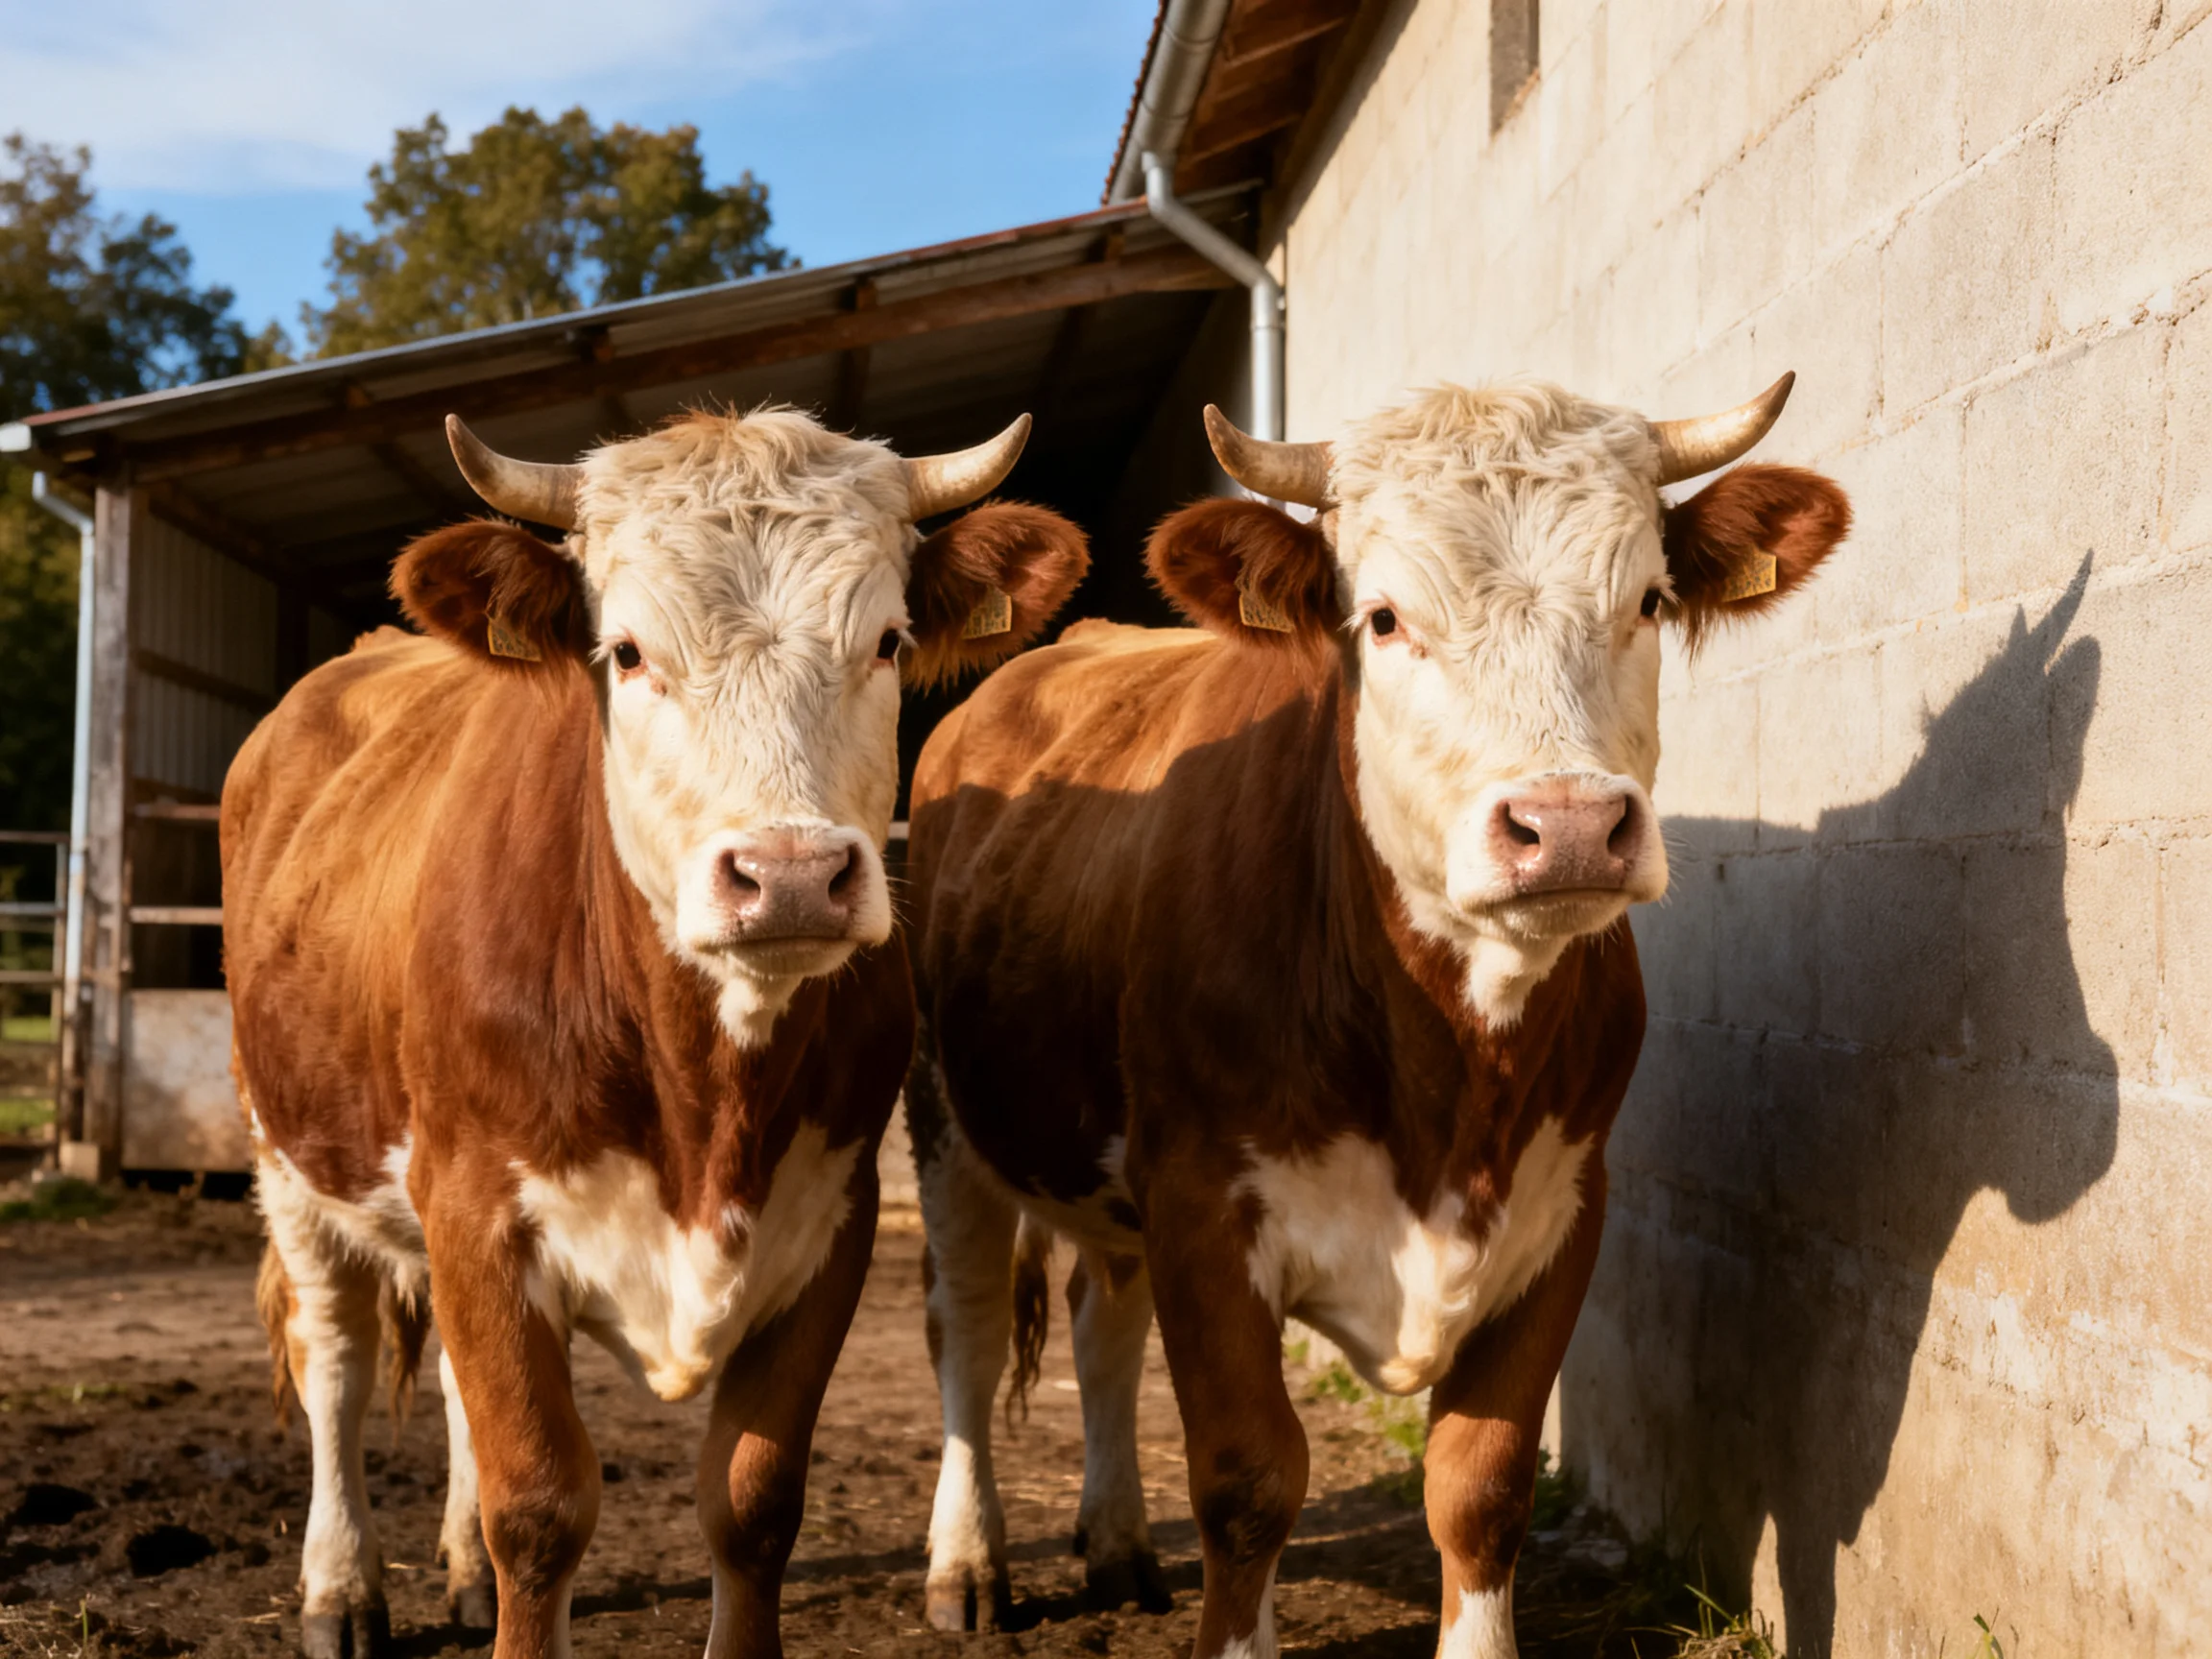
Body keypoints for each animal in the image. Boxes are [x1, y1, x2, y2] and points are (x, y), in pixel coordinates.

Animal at [221, 406, 1088, 1659]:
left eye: (885, 641)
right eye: (627, 652)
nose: (790, 875)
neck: (702, 1096)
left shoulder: (828, 1222)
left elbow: (754, 1500)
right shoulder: (476, 1208)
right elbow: (536, 1506)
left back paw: (454, 1572)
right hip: (288, 1151)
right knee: (333, 1358)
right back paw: (341, 1591)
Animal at [903, 377, 1851, 1658]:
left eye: (1648, 600)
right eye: (1387, 619)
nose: (1567, 825)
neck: (1451, 1077)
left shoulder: (1566, 1209)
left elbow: (1481, 1485)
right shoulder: (1204, 1205)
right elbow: (1250, 1480)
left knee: (1106, 1326)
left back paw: (1119, 1549)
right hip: (944, 1110)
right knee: (961, 1324)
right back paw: (967, 1568)